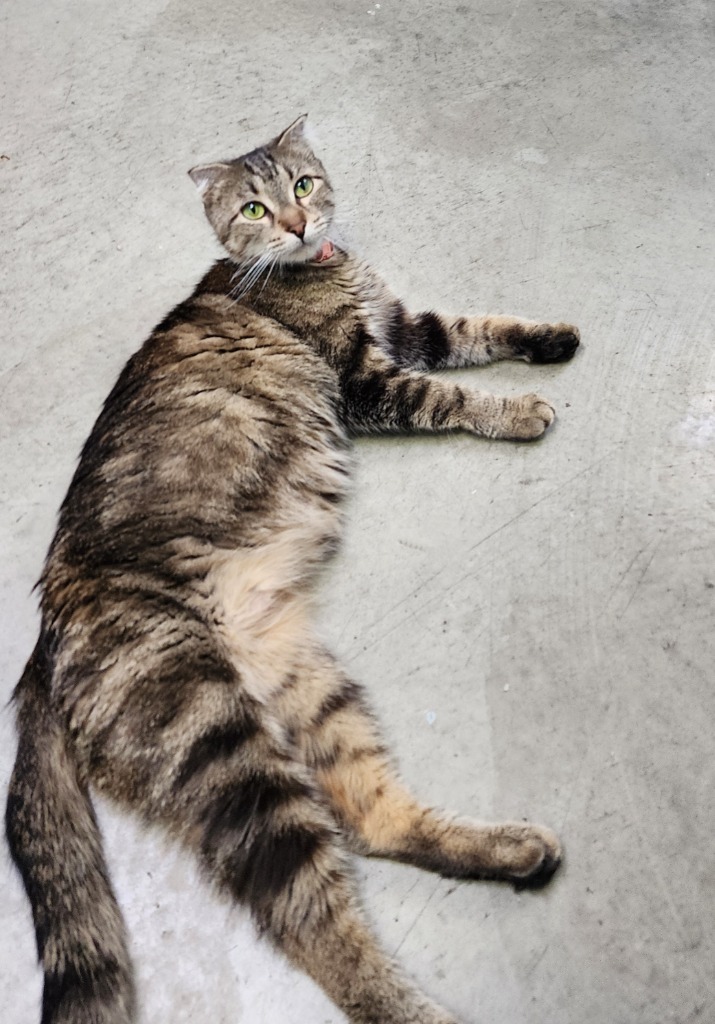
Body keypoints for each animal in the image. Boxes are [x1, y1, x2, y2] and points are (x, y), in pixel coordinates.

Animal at [6, 114, 577, 1024]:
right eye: (252, 206)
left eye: (302, 186)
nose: (299, 223)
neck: (318, 268)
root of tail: (39, 647)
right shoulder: (366, 379)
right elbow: (450, 395)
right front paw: (518, 410)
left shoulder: (406, 325)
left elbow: (475, 326)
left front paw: (549, 338)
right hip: (223, 750)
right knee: (312, 922)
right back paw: (419, 1007)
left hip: (303, 683)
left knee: (371, 821)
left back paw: (512, 849)